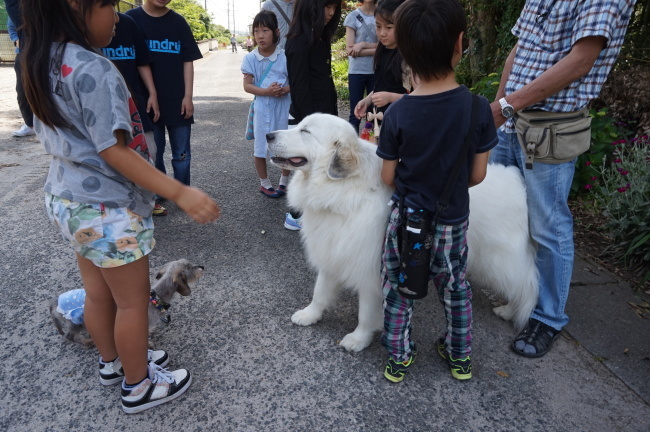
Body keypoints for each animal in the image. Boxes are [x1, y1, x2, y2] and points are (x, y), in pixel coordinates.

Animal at [49, 258, 204, 346]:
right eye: (190, 267)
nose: (202, 267)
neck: (156, 297)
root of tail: (54, 303)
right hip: (76, 323)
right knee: (69, 336)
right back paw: (86, 342)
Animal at [266, 114, 536, 352]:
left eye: (305, 131)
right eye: (298, 124)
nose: (268, 135)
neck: (342, 192)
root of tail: (517, 182)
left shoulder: (372, 271)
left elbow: (366, 312)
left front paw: (358, 339)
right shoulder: (333, 251)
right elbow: (320, 291)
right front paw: (309, 315)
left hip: (499, 261)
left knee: (528, 284)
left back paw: (510, 311)